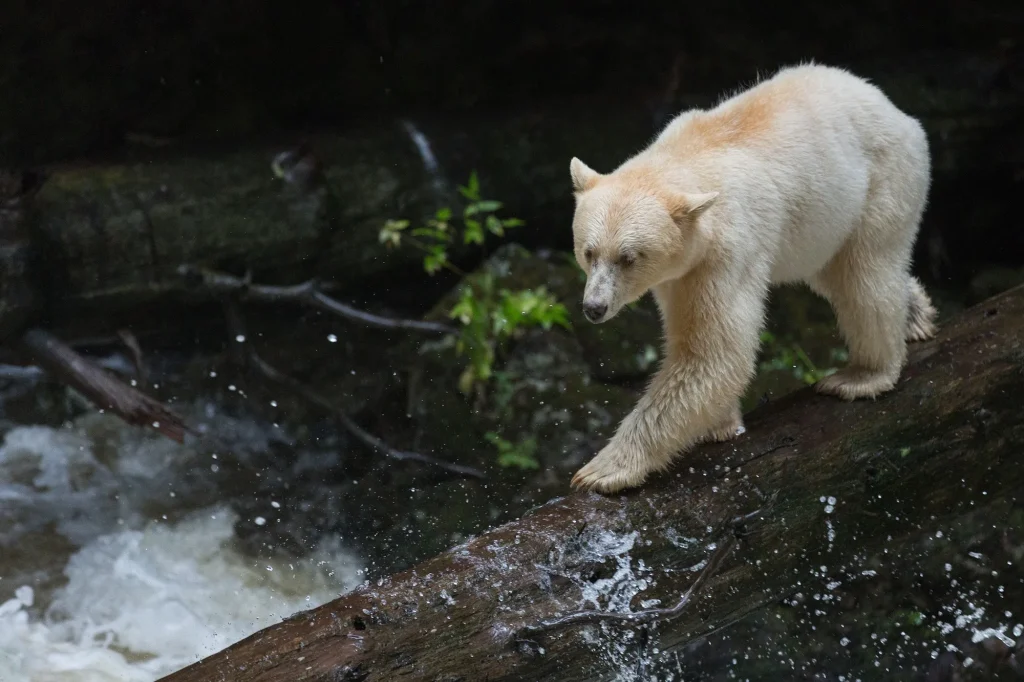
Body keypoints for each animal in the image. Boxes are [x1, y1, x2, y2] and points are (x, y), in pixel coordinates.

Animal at [568, 63, 937, 494]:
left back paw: (863, 375)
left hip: (880, 182)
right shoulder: (683, 269)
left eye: (628, 258)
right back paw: (916, 317)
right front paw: (719, 425)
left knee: (864, 275)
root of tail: (893, 109)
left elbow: (716, 352)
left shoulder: (727, 250)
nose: (594, 307)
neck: (689, 155)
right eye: (589, 252)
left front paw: (602, 469)